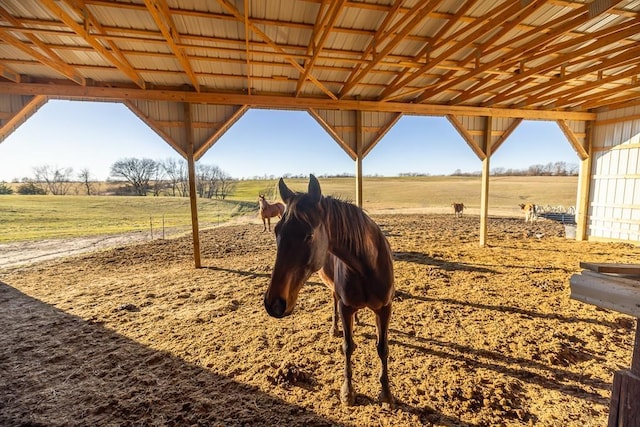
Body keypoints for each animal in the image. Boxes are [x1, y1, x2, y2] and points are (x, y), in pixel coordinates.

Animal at [262, 176, 392, 408]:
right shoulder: (345, 307)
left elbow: (382, 348)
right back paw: (335, 328)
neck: (368, 266)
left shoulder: (385, 309)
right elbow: (348, 347)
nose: (273, 303)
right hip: (334, 292)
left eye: (308, 235)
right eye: (277, 231)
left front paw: (386, 394)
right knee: (333, 303)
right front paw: (348, 393)